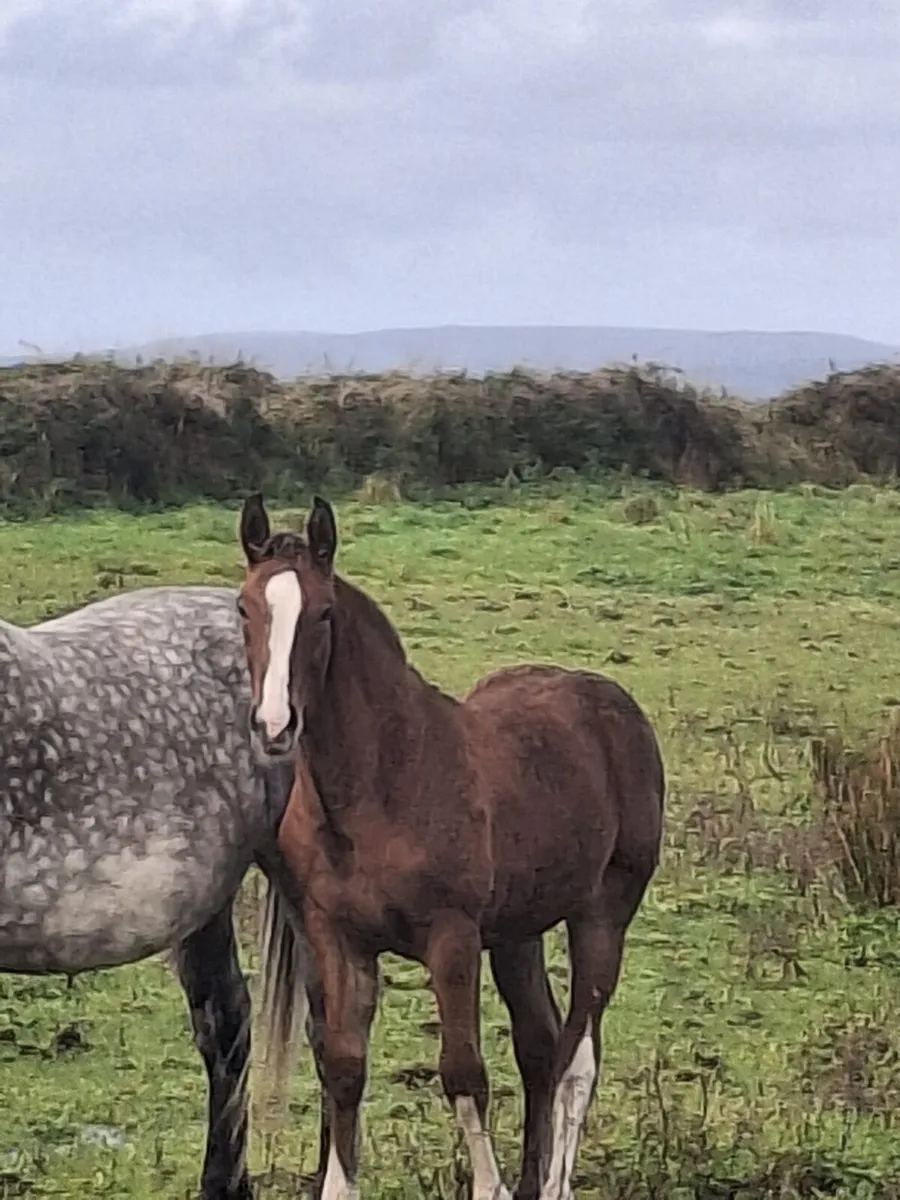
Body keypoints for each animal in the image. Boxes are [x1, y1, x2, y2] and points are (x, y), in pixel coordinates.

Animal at [238, 493, 666, 1200]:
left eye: (323, 614)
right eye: (244, 609)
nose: (275, 726)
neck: (383, 782)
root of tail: (613, 703)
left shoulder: (453, 938)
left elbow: (463, 1072)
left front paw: (490, 1187)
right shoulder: (339, 939)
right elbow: (346, 1068)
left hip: (602, 914)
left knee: (578, 1058)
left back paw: (554, 1182)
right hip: (518, 931)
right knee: (540, 1046)